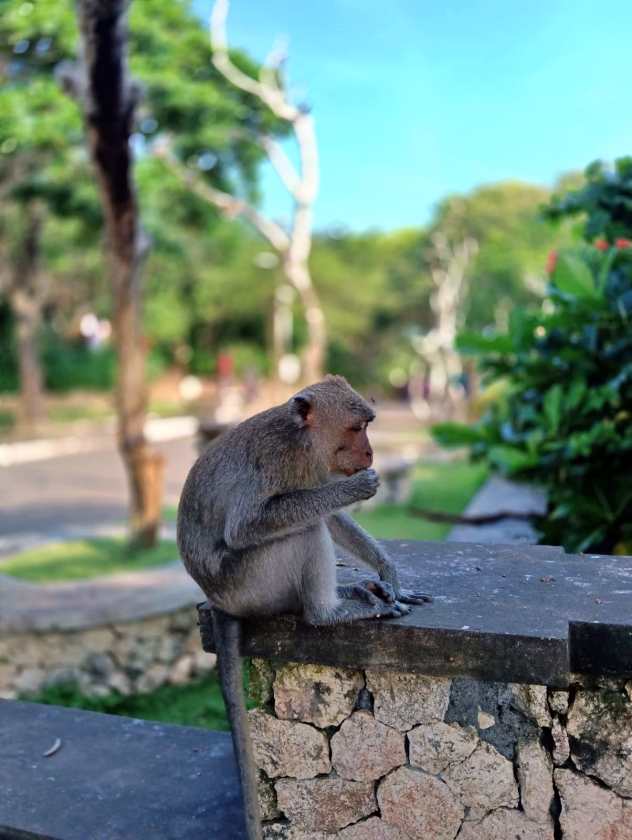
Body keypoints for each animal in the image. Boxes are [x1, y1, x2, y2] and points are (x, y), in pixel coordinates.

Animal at [177, 375, 431, 840]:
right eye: (357, 428)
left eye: (368, 425)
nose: (370, 453)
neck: (303, 440)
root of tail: (218, 600)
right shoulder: (277, 462)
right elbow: (247, 527)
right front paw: (355, 488)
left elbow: (328, 514)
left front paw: (390, 574)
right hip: (251, 583)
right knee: (302, 531)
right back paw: (328, 612)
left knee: (310, 522)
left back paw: (357, 591)